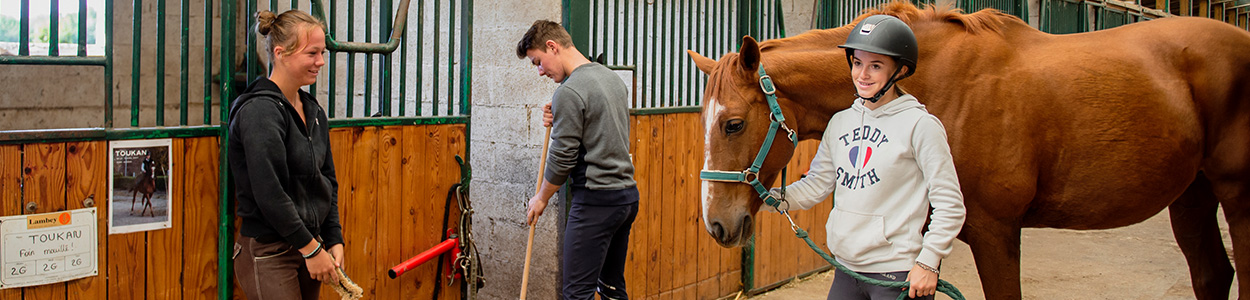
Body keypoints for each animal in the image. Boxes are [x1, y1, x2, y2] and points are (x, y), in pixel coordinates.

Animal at [690, 1, 1250, 297]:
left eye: (734, 124)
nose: (716, 225)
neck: (938, 85)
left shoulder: (995, 231)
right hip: (1192, 195)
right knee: (1211, 273)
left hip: (1236, 197)